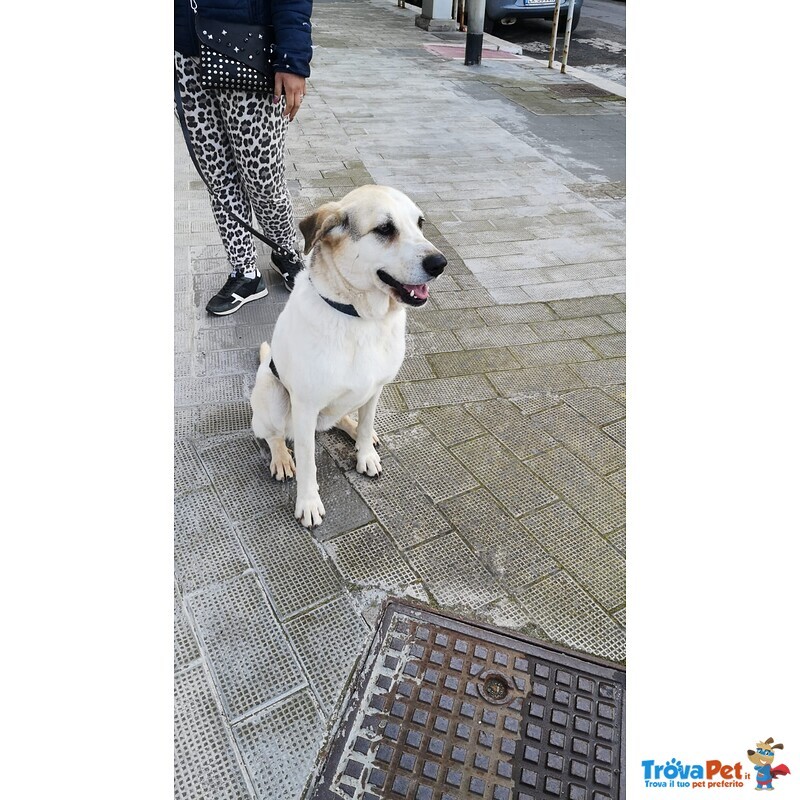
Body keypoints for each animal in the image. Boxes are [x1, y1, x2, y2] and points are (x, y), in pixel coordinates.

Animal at [250, 184, 446, 528]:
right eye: (385, 229)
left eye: (420, 223)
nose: (440, 263)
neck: (361, 318)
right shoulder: (304, 407)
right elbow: (309, 463)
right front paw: (308, 502)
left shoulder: (376, 389)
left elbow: (367, 426)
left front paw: (365, 453)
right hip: (272, 395)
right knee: (274, 435)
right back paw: (282, 458)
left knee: (341, 418)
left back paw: (353, 429)